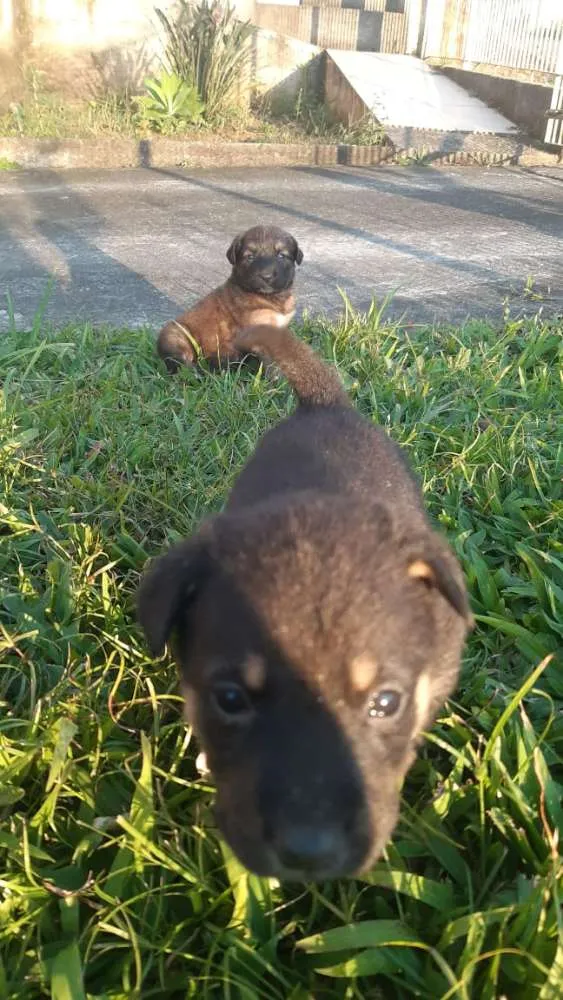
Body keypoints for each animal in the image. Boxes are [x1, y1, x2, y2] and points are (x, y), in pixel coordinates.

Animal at [158, 225, 304, 374]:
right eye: (250, 257)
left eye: (281, 255)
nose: (266, 276)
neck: (271, 298)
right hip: (176, 336)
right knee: (180, 362)